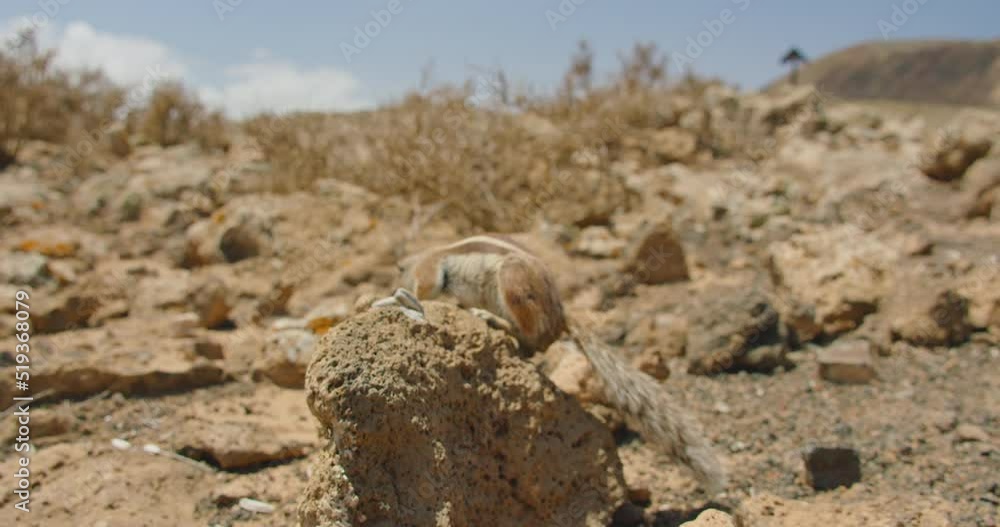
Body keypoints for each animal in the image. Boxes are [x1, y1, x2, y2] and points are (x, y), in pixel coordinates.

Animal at [370, 234, 728, 494]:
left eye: (397, 271)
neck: (423, 256)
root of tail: (560, 317)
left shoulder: (430, 271)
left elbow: (427, 288)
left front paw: (401, 299)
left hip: (512, 282)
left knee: (530, 339)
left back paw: (493, 320)